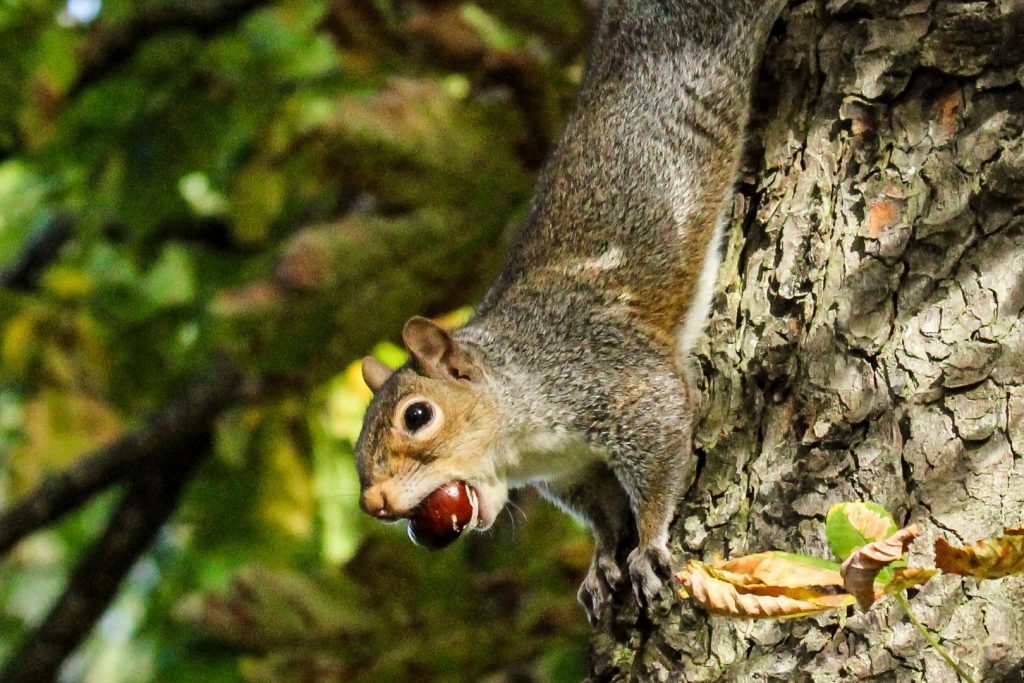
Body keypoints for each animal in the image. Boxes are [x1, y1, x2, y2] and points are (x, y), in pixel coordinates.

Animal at [356, 0, 786, 618]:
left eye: (417, 416)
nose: (376, 502)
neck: (522, 443)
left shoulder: (611, 376)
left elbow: (659, 453)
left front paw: (648, 547)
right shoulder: (574, 473)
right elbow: (604, 517)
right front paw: (602, 563)